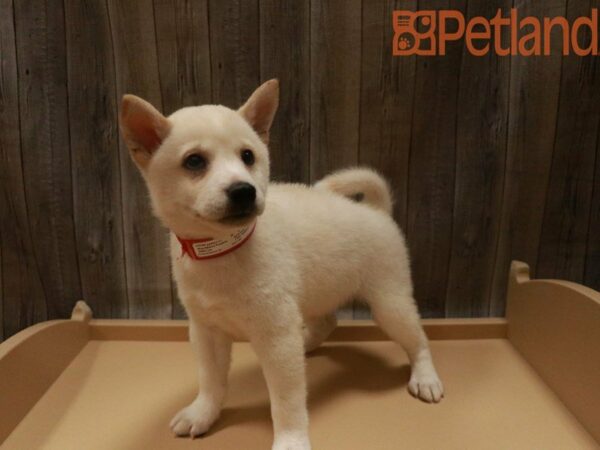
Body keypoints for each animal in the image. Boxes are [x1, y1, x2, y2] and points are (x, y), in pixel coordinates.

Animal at [119, 81, 442, 450]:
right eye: (194, 161)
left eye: (248, 156)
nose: (244, 191)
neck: (224, 251)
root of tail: (376, 211)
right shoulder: (206, 332)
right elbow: (211, 382)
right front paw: (203, 413)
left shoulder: (275, 337)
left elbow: (286, 401)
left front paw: (291, 439)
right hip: (317, 294)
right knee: (327, 322)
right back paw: (307, 344)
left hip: (390, 305)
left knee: (418, 340)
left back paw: (425, 376)